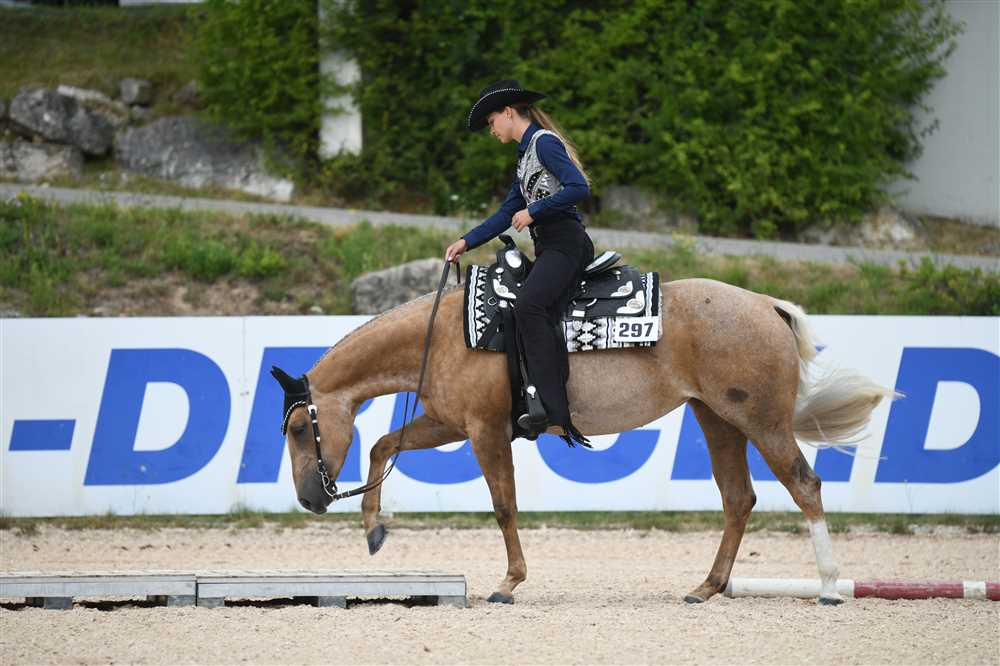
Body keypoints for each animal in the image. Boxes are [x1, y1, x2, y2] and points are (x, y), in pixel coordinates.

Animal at [271, 275, 895, 605]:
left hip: (761, 421)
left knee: (805, 485)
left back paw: (830, 585)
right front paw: (374, 531)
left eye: (300, 428)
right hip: (717, 419)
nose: (308, 498)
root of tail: (767, 304)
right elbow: (382, 447)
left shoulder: (485, 430)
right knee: (739, 498)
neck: (451, 335)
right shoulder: (449, 421)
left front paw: (509, 583)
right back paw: (707, 586)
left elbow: (503, 505)